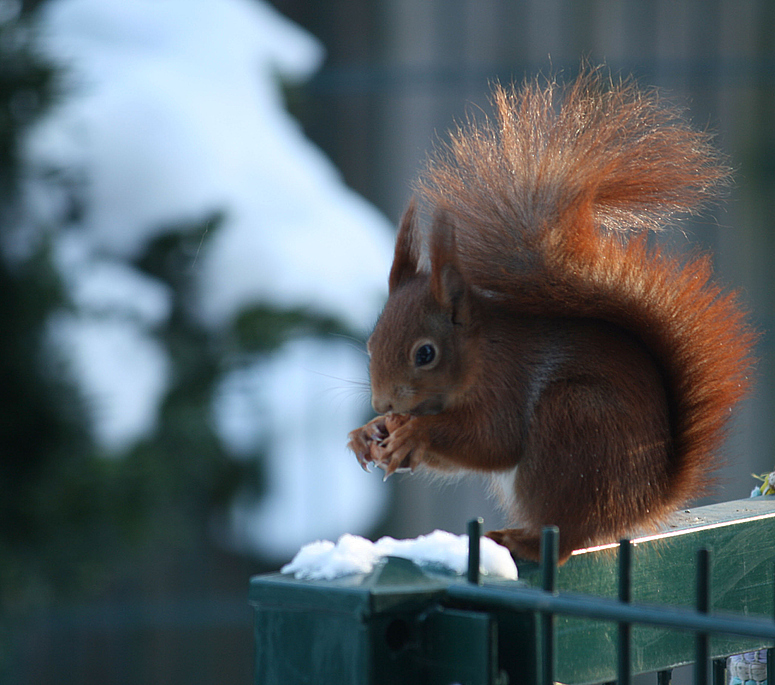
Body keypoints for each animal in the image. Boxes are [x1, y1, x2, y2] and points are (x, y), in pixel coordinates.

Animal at [350, 68, 756, 560]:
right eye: (371, 344)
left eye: (425, 354)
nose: (382, 403)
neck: (479, 352)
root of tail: (647, 499)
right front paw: (368, 433)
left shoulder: (504, 384)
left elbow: (493, 441)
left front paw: (414, 433)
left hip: (573, 425)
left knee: (566, 534)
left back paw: (521, 541)